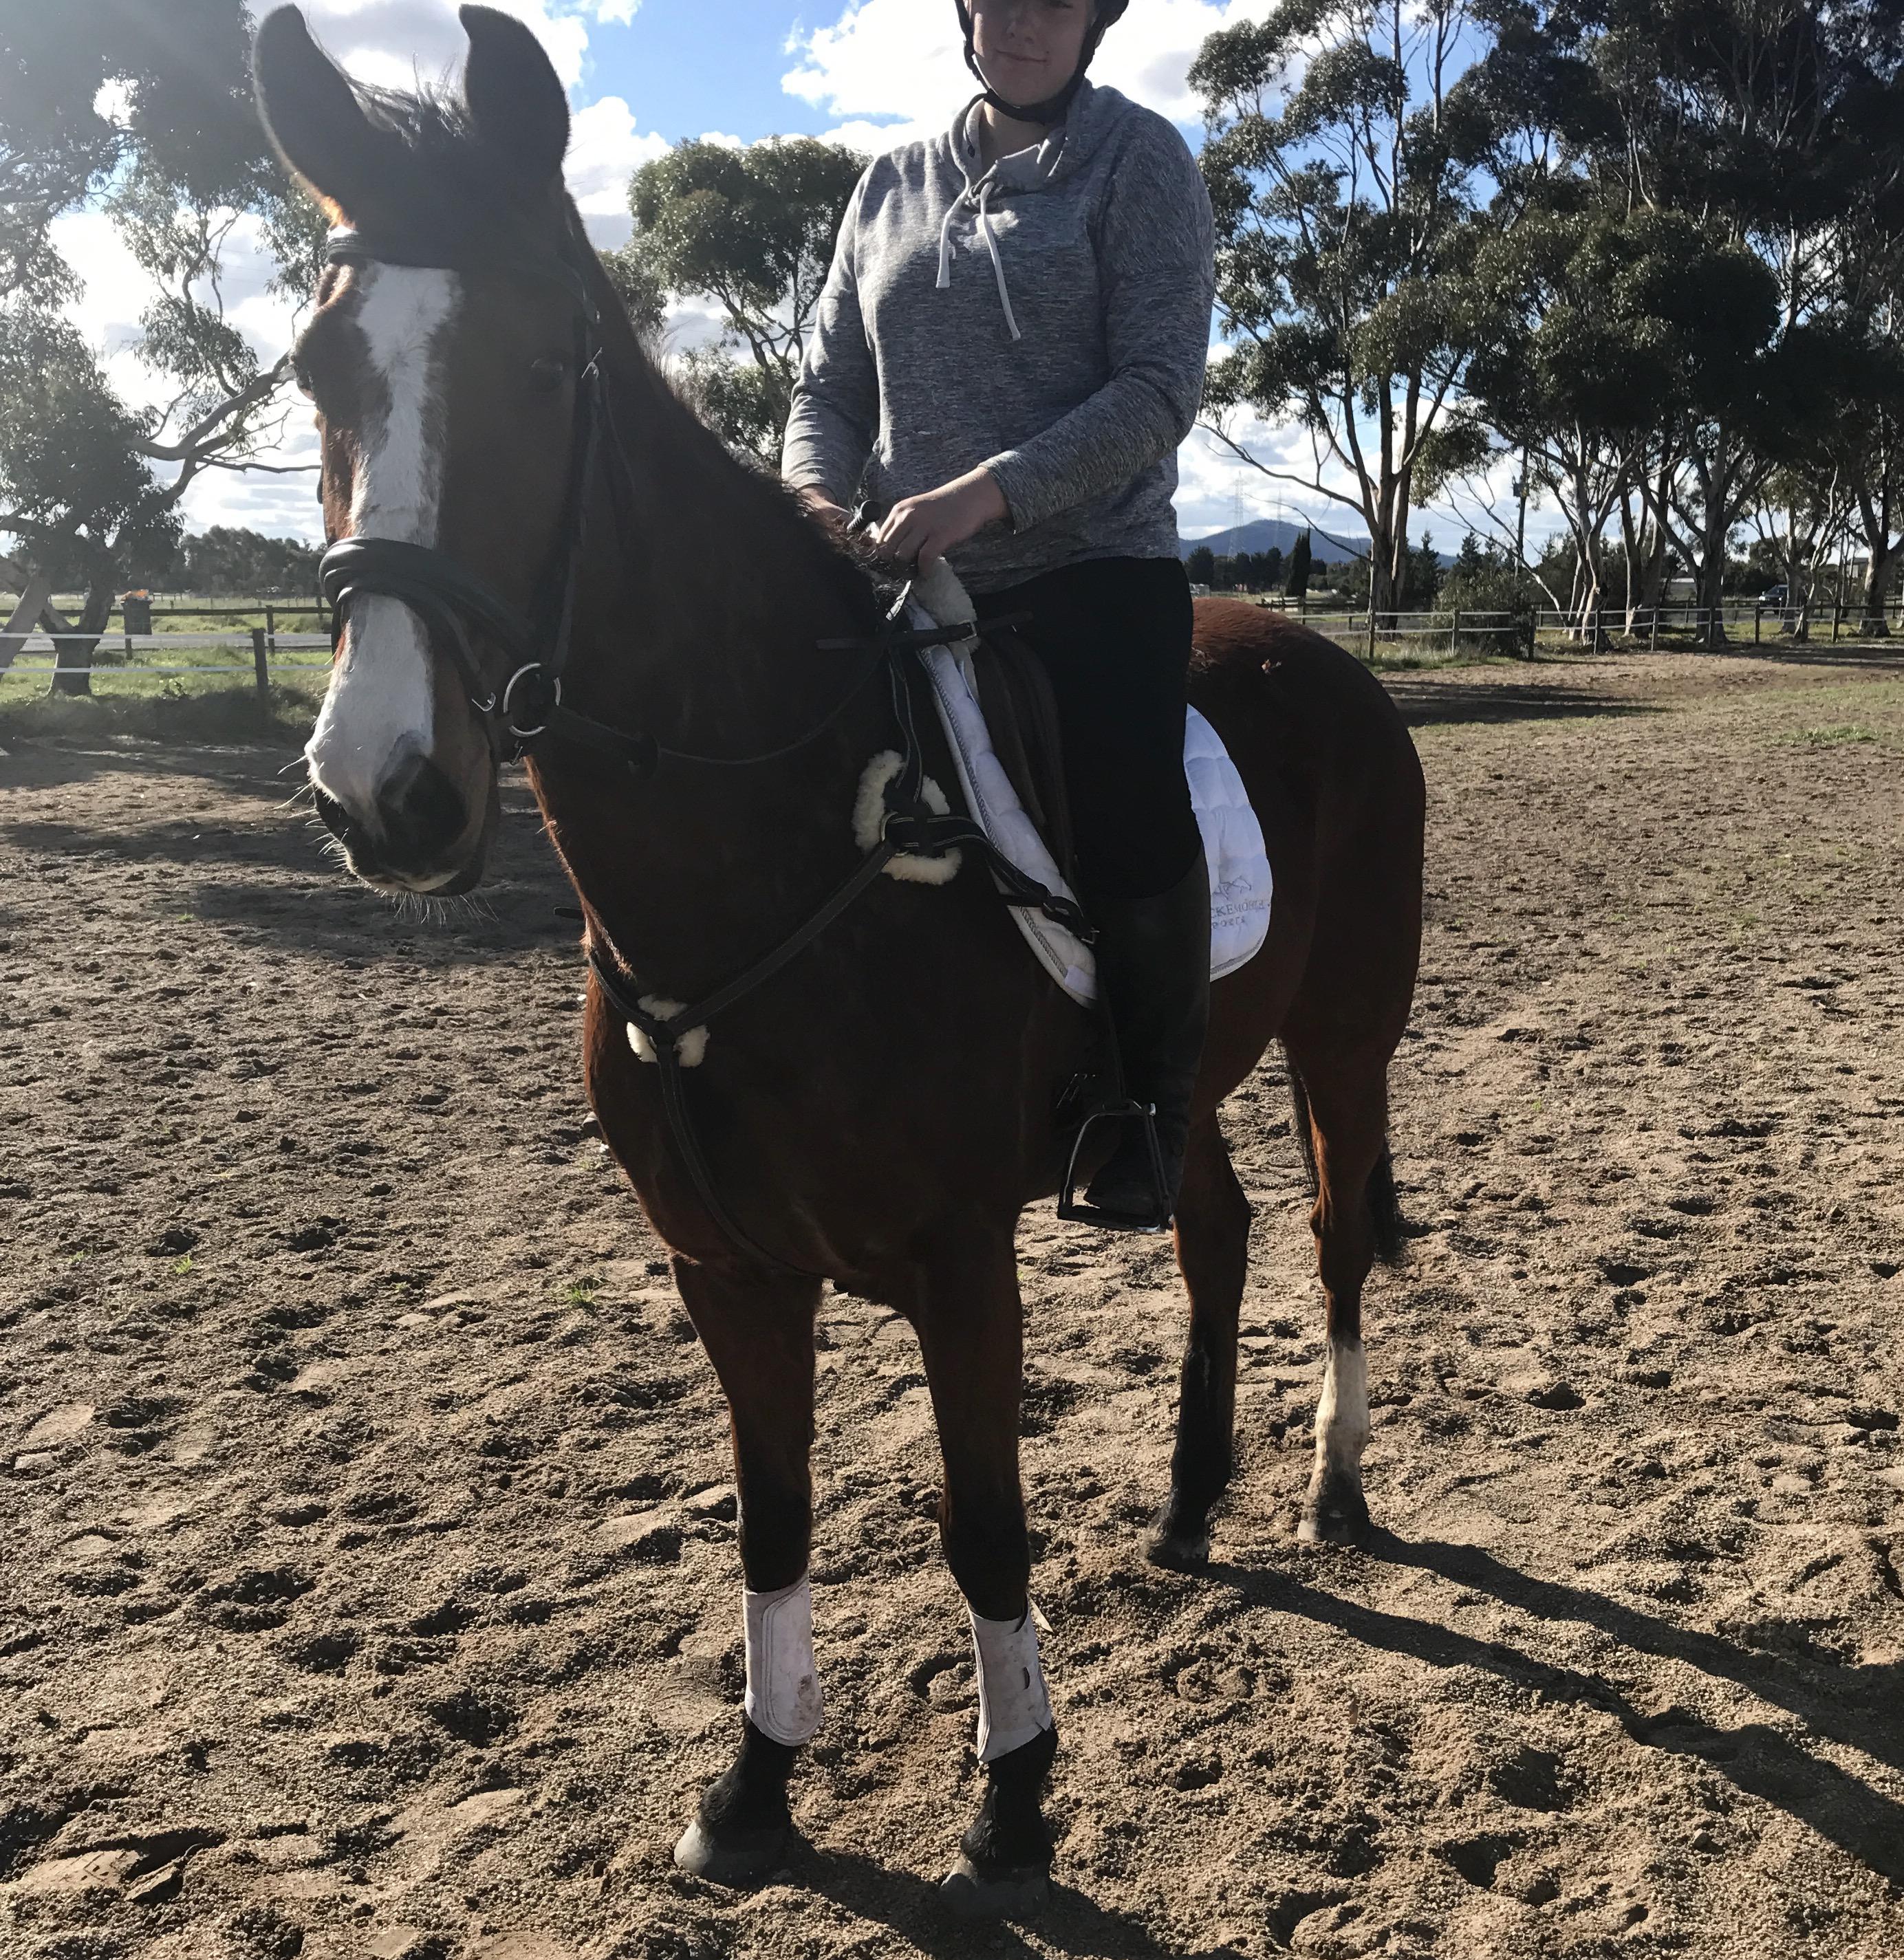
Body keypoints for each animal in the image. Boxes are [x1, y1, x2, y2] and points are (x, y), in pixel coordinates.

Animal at [253, 3, 1424, 1917]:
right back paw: (1190, 1504)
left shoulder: (959, 1260)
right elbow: (774, 1518)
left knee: (1328, 1234)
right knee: (1221, 1228)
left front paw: (1013, 1803)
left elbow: (981, 1520)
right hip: (1185, 1080)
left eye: (545, 367)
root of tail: (1326, 661)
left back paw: (1331, 1490)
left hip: (1345, 1038)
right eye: (316, 367)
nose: (388, 789)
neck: (777, 842)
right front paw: (754, 1789)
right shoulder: (725, 1271)